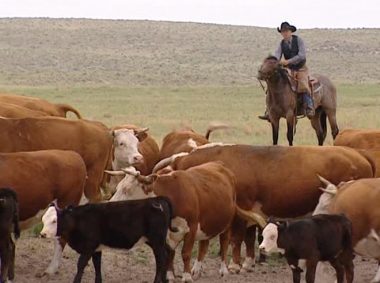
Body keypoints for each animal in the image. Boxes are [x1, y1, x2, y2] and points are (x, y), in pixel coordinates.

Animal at [40, 197, 177, 283]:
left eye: (54, 220)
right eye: (43, 219)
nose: (42, 234)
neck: (79, 220)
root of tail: (158, 199)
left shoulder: (88, 248)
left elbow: (80, 265)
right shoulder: (96, 249)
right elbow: (97, 266)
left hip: (157, 241)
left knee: (161, 259)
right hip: (155, 241)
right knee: (168, 252)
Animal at [107, 163, 260, 282]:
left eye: (127, 190)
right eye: (118, 187)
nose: (109, 206)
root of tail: (221, 166)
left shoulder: (191, 228)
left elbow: (185, 253)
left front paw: (186, 277)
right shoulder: (167, 233)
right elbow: (170, 253)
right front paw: (170, 276)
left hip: (226, 223)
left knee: (224, 242)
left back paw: (223, 270)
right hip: (206, 223)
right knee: (204, 245)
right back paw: (196, 270)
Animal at [151, 144, 374, 272]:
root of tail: (359, 155)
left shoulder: (240, 211)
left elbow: (237, 238)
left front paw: (235, 265)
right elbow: (249, 238)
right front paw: (248, 262)